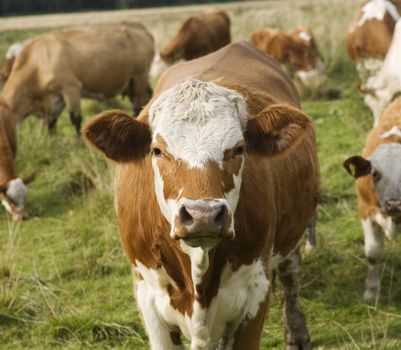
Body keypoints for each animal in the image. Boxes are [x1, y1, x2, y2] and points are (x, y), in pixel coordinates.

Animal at [1, 22, 154, 135]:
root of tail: (139, 28)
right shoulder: (55, 97)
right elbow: (52, 121)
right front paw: (53, 139)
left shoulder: (71, 89)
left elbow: (75, 118)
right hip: (132, 83)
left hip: (139, 77)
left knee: (138, 105)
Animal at [83, 43, 318, 350]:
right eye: (157, 150)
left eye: (239, 148)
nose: (202, 216)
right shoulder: (147, 296)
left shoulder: (256, 290)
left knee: (291, 277)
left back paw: (296, 333)